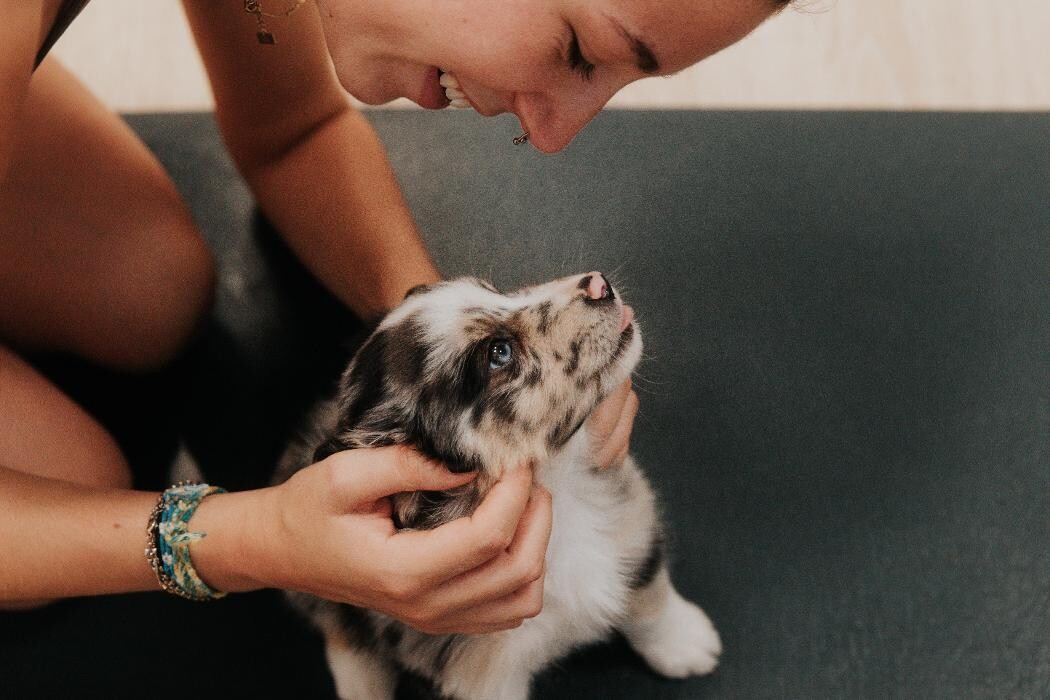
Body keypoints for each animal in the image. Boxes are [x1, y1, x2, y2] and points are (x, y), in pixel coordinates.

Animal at [275, 272, 722, 700]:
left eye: (497, 291)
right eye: (498, 354)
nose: (599, 284)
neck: (561, 492)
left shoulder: (633, 522)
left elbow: (650, 600)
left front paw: (687, 643)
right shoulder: (477, 672)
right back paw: (360, 682)